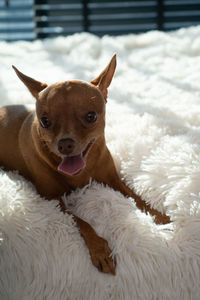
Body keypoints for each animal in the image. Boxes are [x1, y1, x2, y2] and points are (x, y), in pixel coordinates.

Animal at [0, 54, 169, 276]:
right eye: (45, 121)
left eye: (91, 116)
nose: (65, 143)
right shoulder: (52, 200)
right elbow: (82, 222)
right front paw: (100, 250)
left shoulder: (114, 181)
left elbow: (137, 198)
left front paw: (159, 217)